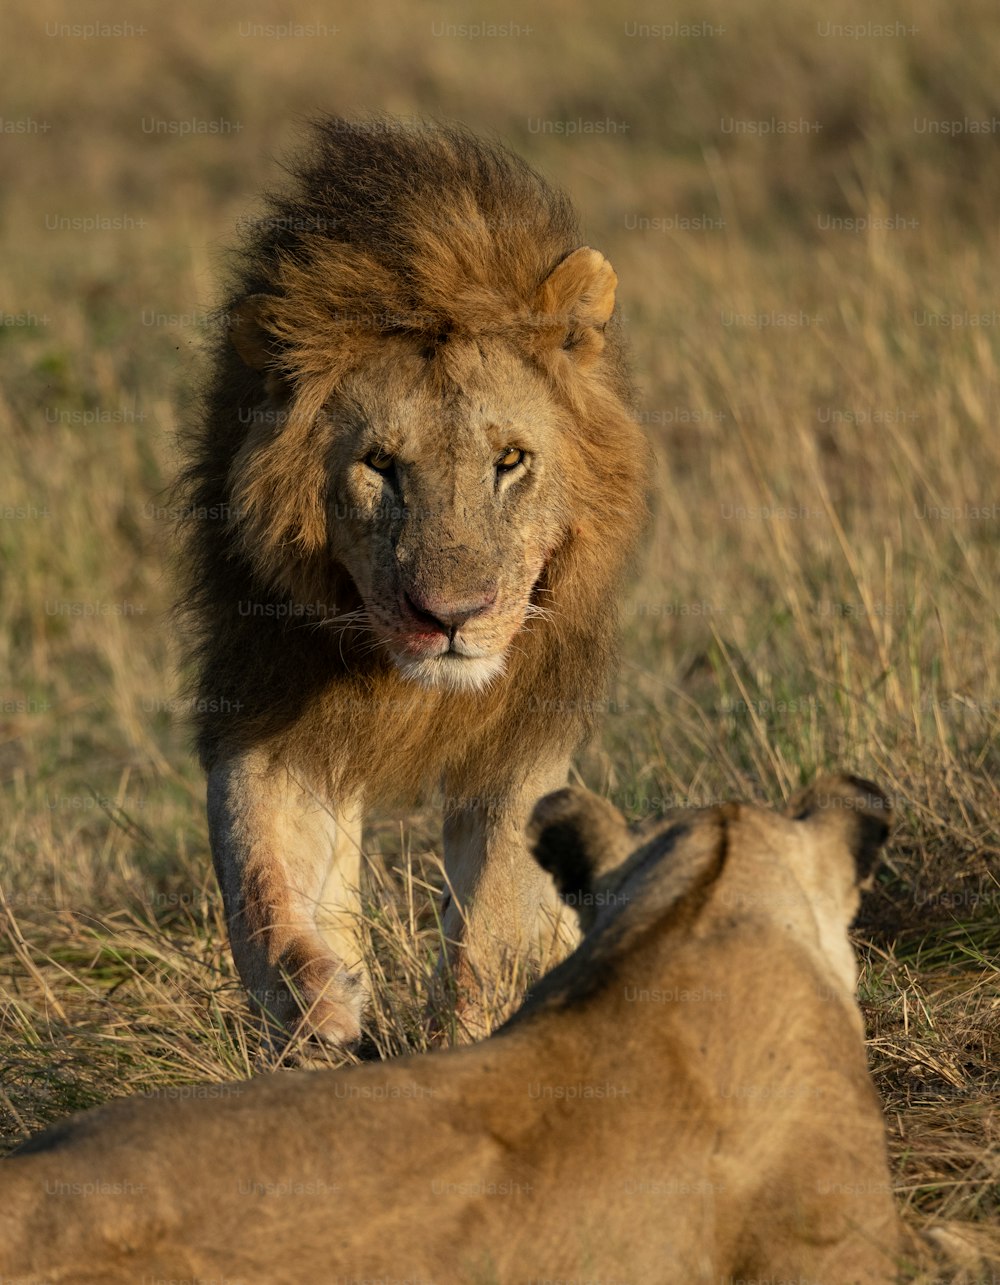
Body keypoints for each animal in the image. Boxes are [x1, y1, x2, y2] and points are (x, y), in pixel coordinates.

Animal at [177, 118, 647, 1043]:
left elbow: (490, 926)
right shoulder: (268, 696)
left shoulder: (521, 737)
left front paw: (464, 1044)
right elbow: (256, 876)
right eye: (380, 465)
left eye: (511, 460)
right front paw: (314, 1001)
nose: (450, 619)